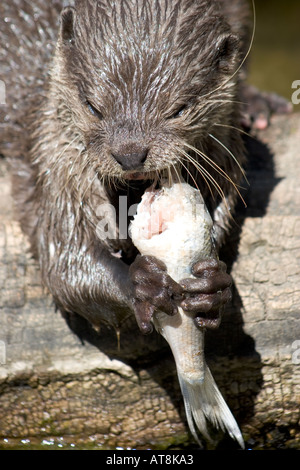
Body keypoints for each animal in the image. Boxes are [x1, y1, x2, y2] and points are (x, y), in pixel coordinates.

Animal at [0, 0, 290, 338]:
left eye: (179, 110)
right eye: (92, 107)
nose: (130, 154)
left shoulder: (223, 146)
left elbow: (221, 208)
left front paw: (213, 286)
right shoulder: (54, 163)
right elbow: (66, 263)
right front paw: (141, 286)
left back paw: (258, 107)